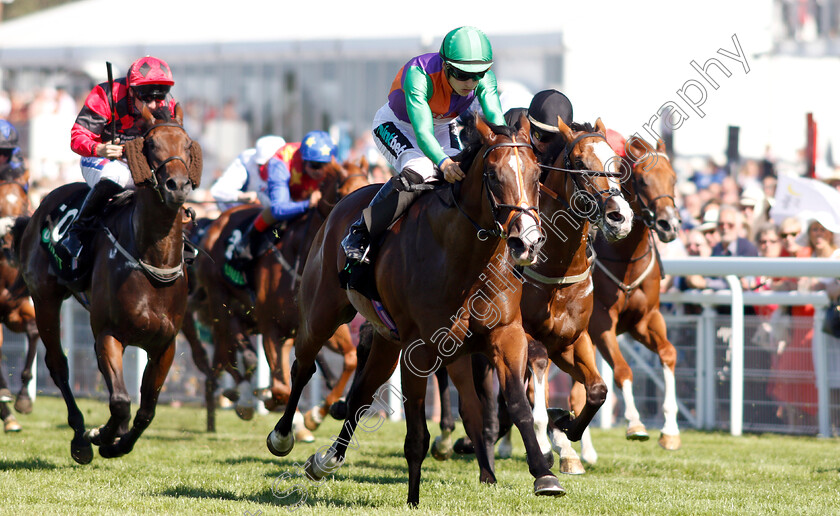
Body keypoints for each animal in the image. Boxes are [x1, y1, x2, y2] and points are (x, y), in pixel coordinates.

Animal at [13, 106, 201, 464]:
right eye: (150, 144)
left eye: (187, 144)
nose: (177, 186)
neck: (152, 260)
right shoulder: (108, 334)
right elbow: (120, 401)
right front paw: (100, 436)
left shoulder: (165, 346)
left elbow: (146, 410)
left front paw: (118, 442)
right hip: (44, 299)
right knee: (58, 365)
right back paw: (79, 436)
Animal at [194, 159, 368, 430]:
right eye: (346, 192)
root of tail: (216, 222)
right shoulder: (271, 329)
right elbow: (281, 388)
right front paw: (281, 409)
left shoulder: (320, 326)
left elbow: (349, 359)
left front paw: (316, 415)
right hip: (220, 304)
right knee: (230, 352)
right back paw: (244, 398)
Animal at [262, 115, 564, 506]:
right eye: (494, 175)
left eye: (536, 174)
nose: (527, 242)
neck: (465, 258)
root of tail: (341, 206)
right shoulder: (419, 349)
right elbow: (417, 433)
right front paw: (413, 499)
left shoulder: (507, 334)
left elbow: (516, 404)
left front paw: (545, 475)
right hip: (322, 312)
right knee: (303, 366)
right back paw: (284, 435)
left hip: (387, 341)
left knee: (361, 394)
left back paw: (327, 460)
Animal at [556, 132, 684, 472]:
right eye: (641, 180)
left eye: (674, 178)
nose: (669, 225)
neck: (625, 259)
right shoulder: (601, 324)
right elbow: (624, 370)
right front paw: (635, 424)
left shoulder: (645, 319)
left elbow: (668, 353)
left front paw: (669, 432)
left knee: (576, 392)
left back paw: (578, 451)